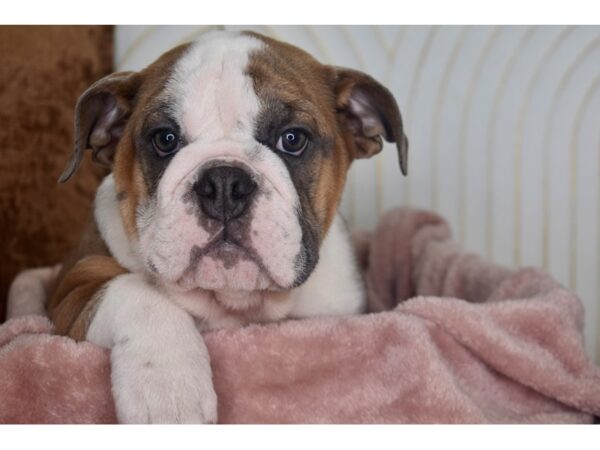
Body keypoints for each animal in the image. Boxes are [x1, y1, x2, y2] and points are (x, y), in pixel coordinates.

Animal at [43, 29, 408, 424]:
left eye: (293, 139)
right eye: (164, 139)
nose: (223, 183)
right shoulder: (71, 287)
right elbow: (134, 291)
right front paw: (168, 386)